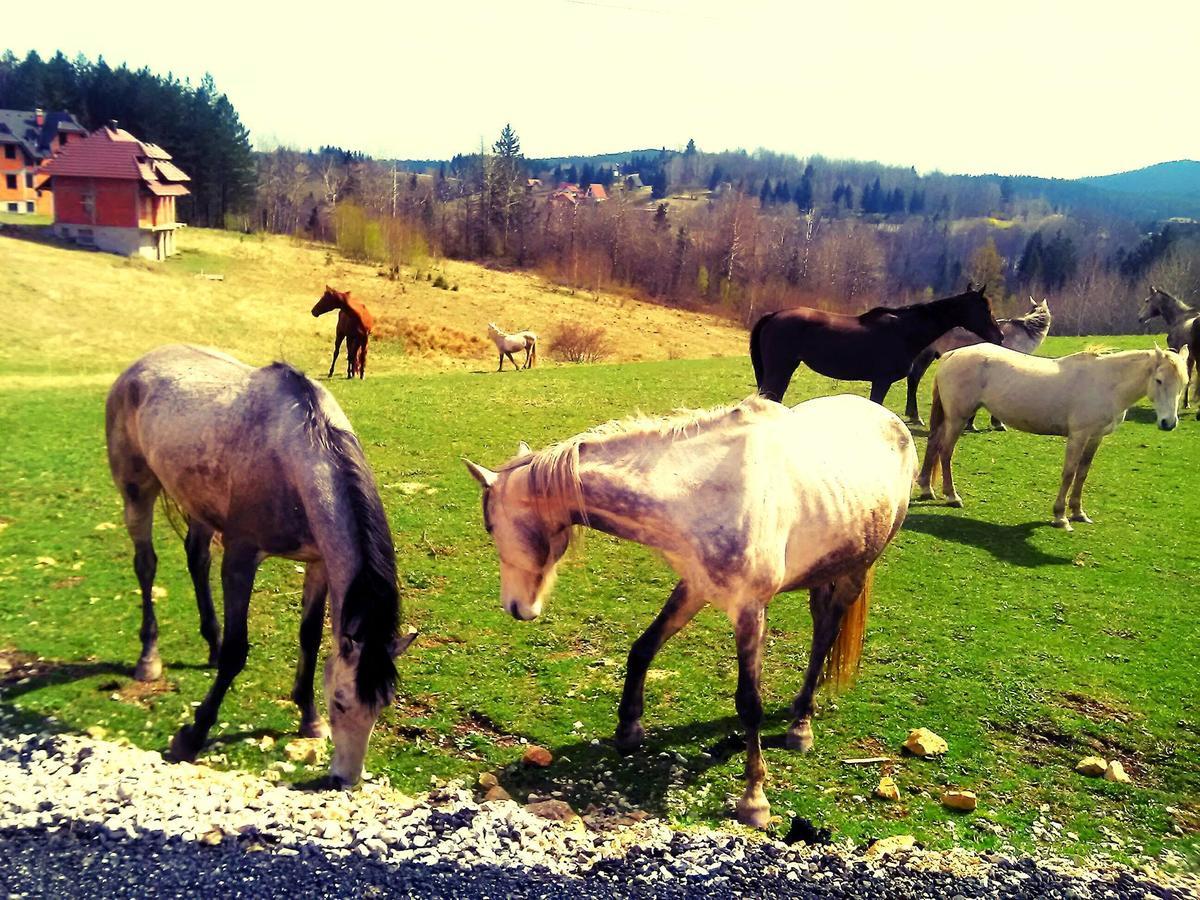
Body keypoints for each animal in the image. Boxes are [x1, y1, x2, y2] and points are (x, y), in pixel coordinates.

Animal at [108, 348, 417, 787]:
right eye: (340, 702)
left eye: (383, 704)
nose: (344, 780)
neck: (295, 456)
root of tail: (138, 366)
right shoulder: (240, 557)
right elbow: (238, 650)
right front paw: (193, 735)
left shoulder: (318, 563)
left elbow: (309, 638)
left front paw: (309, 718)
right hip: (136, 490)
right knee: (146, 565)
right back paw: (149, 659)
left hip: (199, 504)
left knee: (196, 558)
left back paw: (211, 646)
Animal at [463, 393, 912, 830]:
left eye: (489, 527)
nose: (515, 607)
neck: (697, 495)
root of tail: (889, 418)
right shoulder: (694, 587)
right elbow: (643, 648)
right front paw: (629, 729)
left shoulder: (750, 611)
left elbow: (750, 703)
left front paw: (754, 798)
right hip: (825, 567)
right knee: (822, 626)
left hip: (856, 569)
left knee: (826, 632)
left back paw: (801, 725)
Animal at [748, 285, 1003, 405]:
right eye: (985, 308)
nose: (999, 335)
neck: (905, 330)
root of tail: (773, 315)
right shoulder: (881, 381)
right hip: (780, 369)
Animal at [916, 343, 1190, 528]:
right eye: (1159, 380)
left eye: (1184, 383)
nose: (1168, 423)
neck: (1106, 383)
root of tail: (952, 354)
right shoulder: (1078, 436)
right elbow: (1069, 473)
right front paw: (1060, 516)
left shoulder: (1095, 438)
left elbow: (1082, 473)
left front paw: (1078, 512)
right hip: (958, 418)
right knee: (945, 451)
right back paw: (952, 496)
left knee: (934, 443)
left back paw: (927, 488)